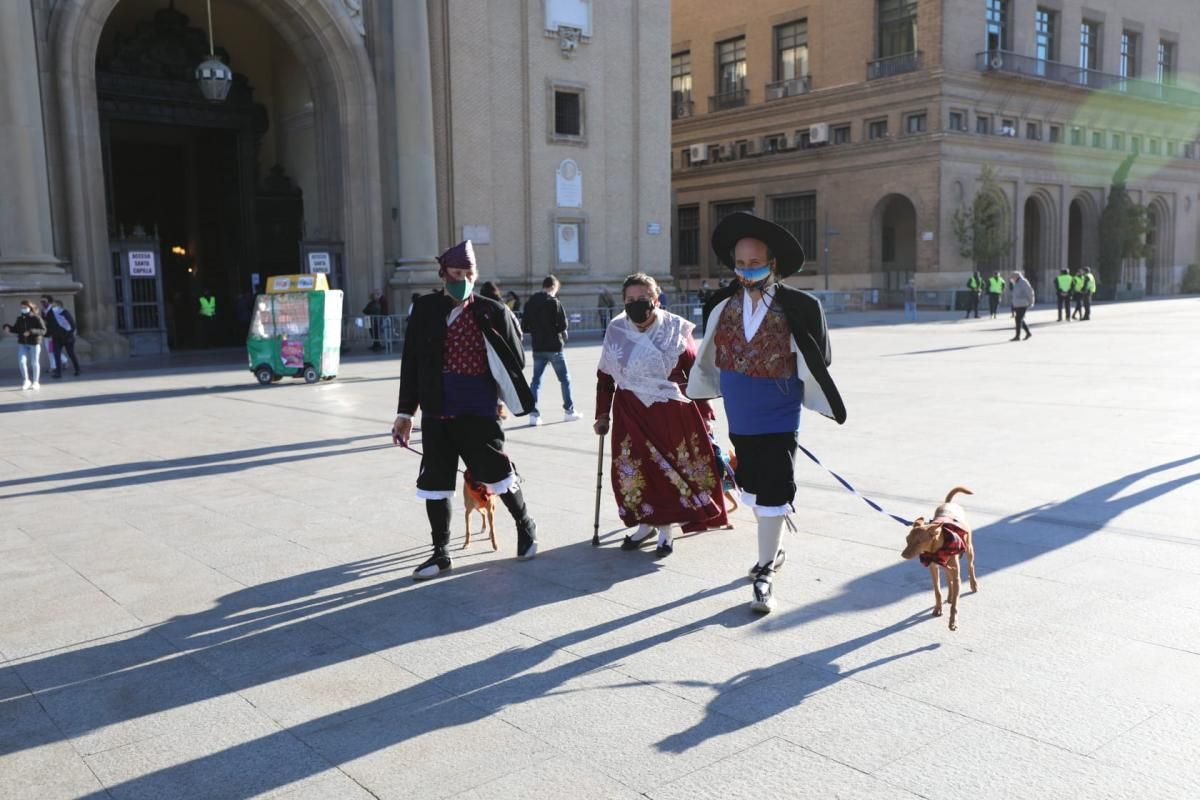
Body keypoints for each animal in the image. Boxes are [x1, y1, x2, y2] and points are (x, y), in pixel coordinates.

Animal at [902, 489, 974, 633]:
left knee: (970, 567)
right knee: (948, 578)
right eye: (907, 540)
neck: (937, 550)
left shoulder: (957, 576)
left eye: (918, 542)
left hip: (969, 550)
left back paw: (974, 585)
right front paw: (938, 609)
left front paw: (953, 623)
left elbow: (955, 605)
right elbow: (938, 591)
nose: (902, 555)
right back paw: (950, 596)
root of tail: (949, 503)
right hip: (945, 566)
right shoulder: (933, 569)